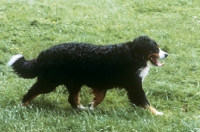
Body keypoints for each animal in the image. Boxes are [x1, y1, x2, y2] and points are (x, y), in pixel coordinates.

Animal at [7, 35, 167, 115]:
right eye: (155, 48)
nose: (166, 54)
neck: (134, 54)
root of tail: (44, 54)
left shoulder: (103, 83)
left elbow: (100, 97)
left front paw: (91, 105)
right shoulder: (134, 85)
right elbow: (144, 101)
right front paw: (157, 113)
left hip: (73, 82)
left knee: (72, 99)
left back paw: (81, 109)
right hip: (49, 81)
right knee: (32, 92)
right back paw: (22, 105)